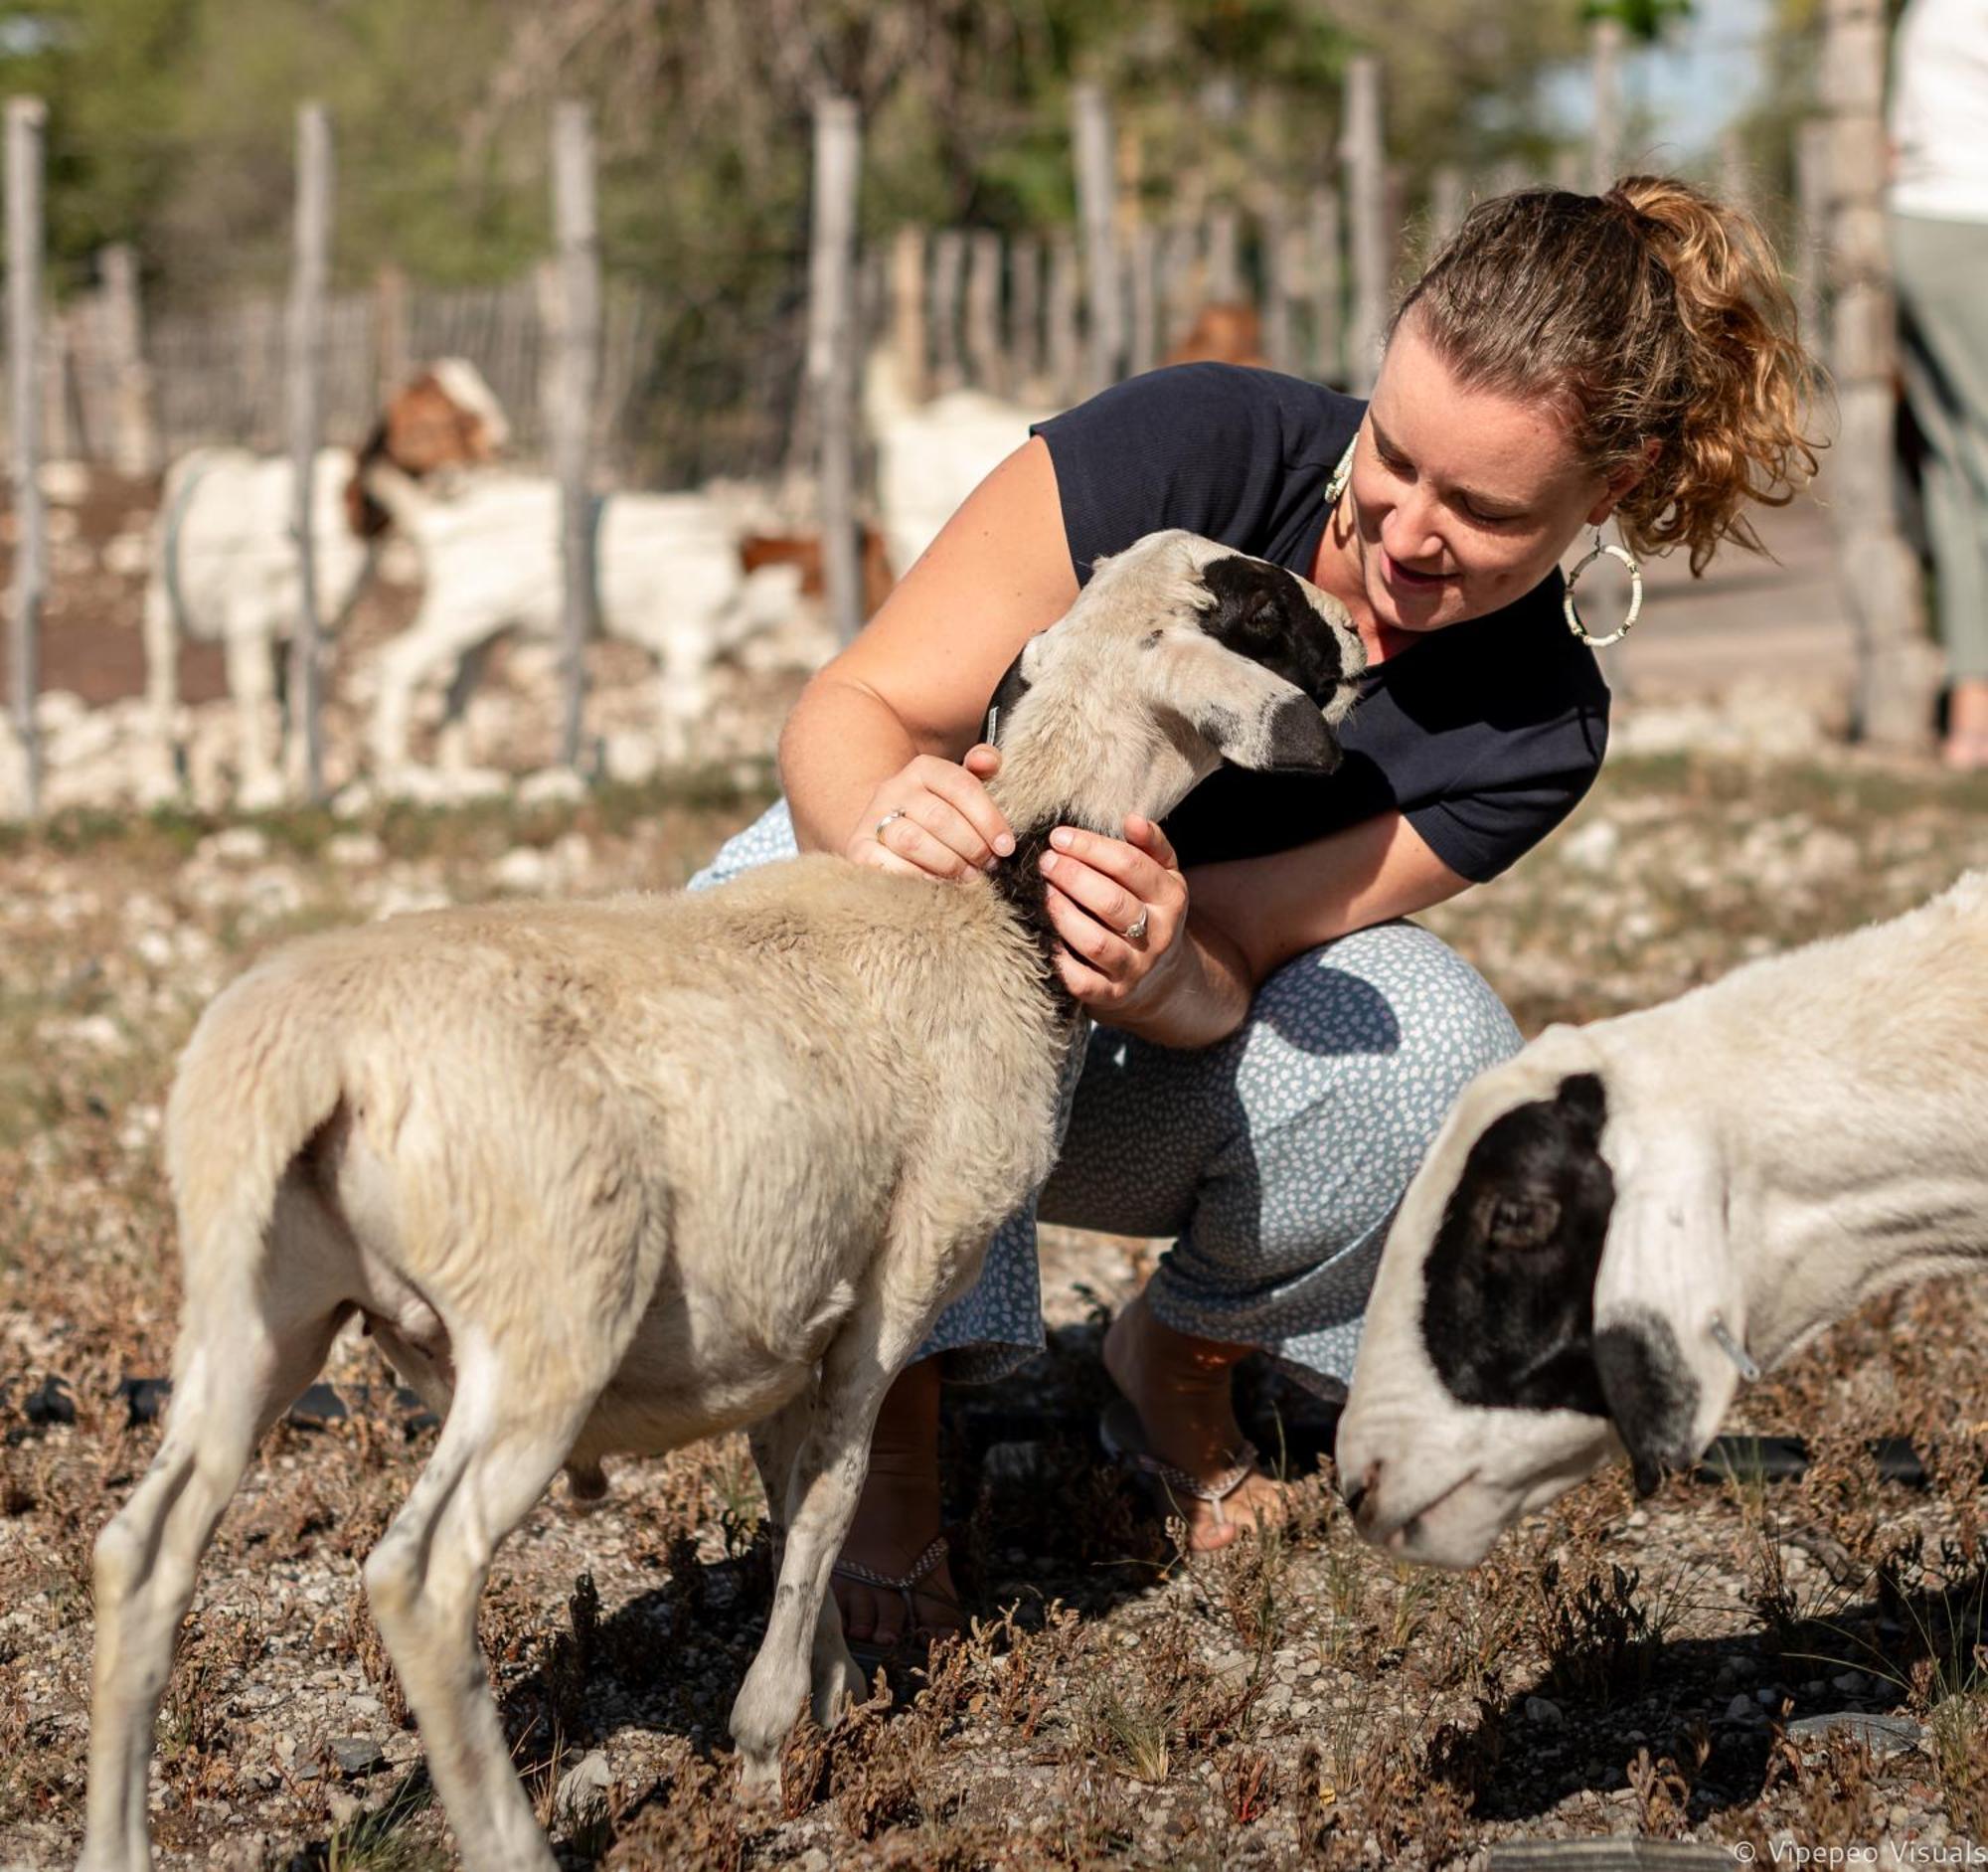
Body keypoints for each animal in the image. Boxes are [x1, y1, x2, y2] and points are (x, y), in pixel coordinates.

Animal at [85, 532, 1376, 1872]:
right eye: (1259, 602)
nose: (1359, 630)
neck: (991, 912)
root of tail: (316, 1051)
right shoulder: (901, 1274)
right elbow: (833, 1486)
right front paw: (764, 1742)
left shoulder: (781, 1306)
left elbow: (786, 1480)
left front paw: (830, 1688)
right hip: (545, 1315)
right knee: (418, 1577)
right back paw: (513, 1839)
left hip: (257, 1306)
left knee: (140, 1548)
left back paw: (114, 1837)